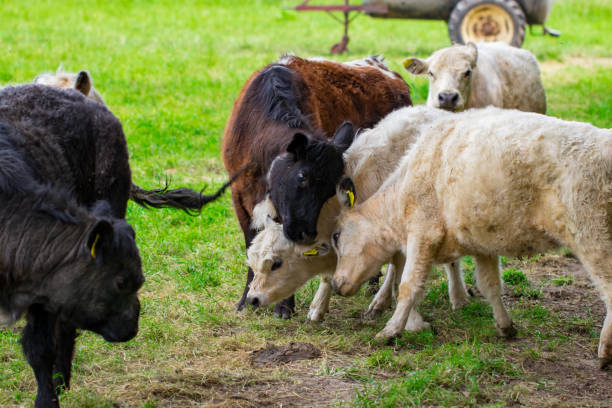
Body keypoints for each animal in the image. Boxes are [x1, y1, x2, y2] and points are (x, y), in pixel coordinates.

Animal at [222, 53, 414, 316]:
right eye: (302, 177)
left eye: (329, 190)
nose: (306, 233)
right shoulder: (240, 196)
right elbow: (252, 242)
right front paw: (245, 300)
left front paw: (284, 305)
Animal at [332, 106, 612, 370]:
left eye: (337, 236)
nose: (335, 283)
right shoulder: (483, 247)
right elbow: (490, 285)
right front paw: (505, 325)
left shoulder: (422, 235)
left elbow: (408, 286)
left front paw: (390, 331)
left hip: (593, 239)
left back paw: (605, 351)